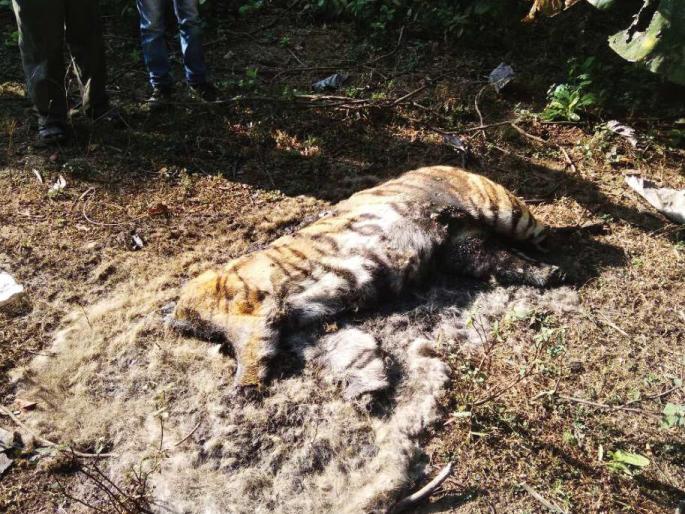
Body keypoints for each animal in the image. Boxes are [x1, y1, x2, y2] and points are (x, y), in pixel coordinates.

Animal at [170, 165, 563, 388]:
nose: (171, 320)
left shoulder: (251, 312)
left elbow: (250, 351)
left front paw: (244, 389)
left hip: (503, 209)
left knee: (546, 232)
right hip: (467, 250)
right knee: (511, 262)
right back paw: (552, 273)